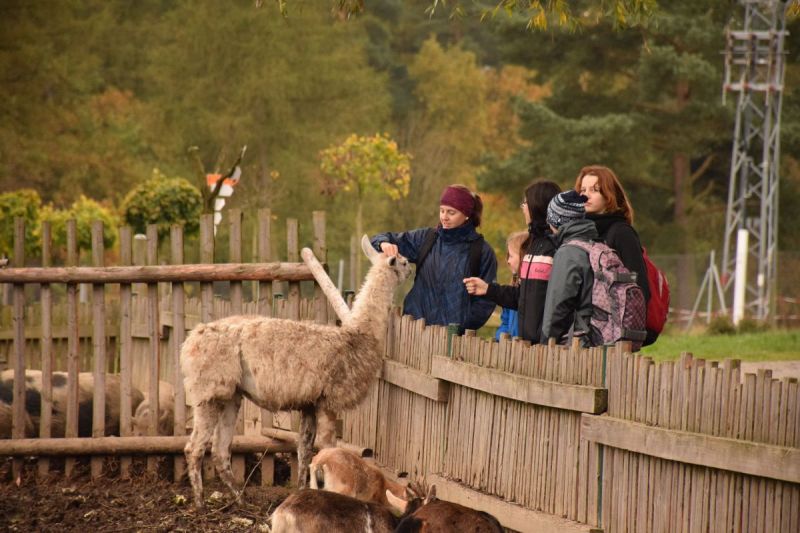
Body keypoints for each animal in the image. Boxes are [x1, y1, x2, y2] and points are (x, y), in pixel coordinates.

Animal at [178, 236, 410, 508]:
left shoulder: (309, 403)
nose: (411, 268)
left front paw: (302, 490)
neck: (358, 336)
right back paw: (200, 504)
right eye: (404, 261)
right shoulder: (329, 400)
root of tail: (189, 341)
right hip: (209, 390)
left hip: (231, 394)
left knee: (219, 449)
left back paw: (241, 501)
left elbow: (304, 450)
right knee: (194, 448)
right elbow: (329, 446)